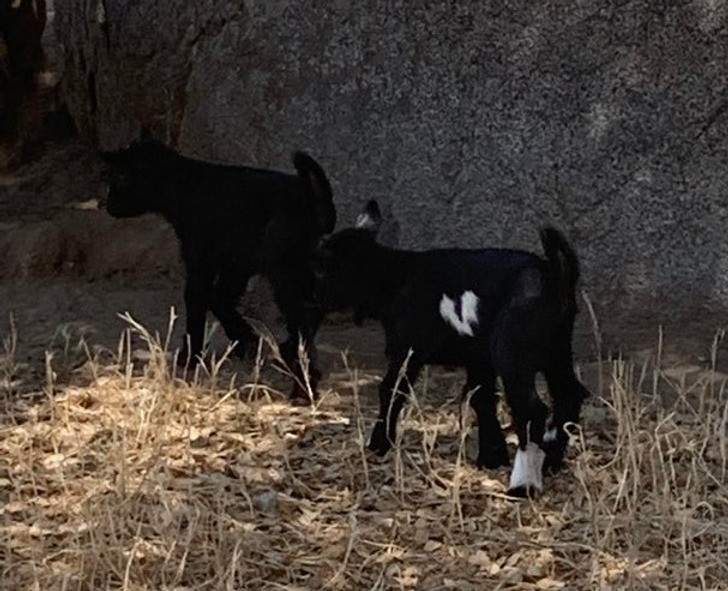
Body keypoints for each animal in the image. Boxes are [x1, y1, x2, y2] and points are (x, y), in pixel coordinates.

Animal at [312, 201, 592, 498]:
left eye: (321, 270)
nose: (314, 299)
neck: (394, 277)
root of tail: (554, 275)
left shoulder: (407, 350)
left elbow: (391, 390)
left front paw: (379, 444)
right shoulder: (479, 359)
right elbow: (481, 397)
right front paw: (492, 457)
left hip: (513, 354)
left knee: (531, 409)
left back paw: (523, 484)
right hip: (557, 350)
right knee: (569, 393)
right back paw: (550, 459)